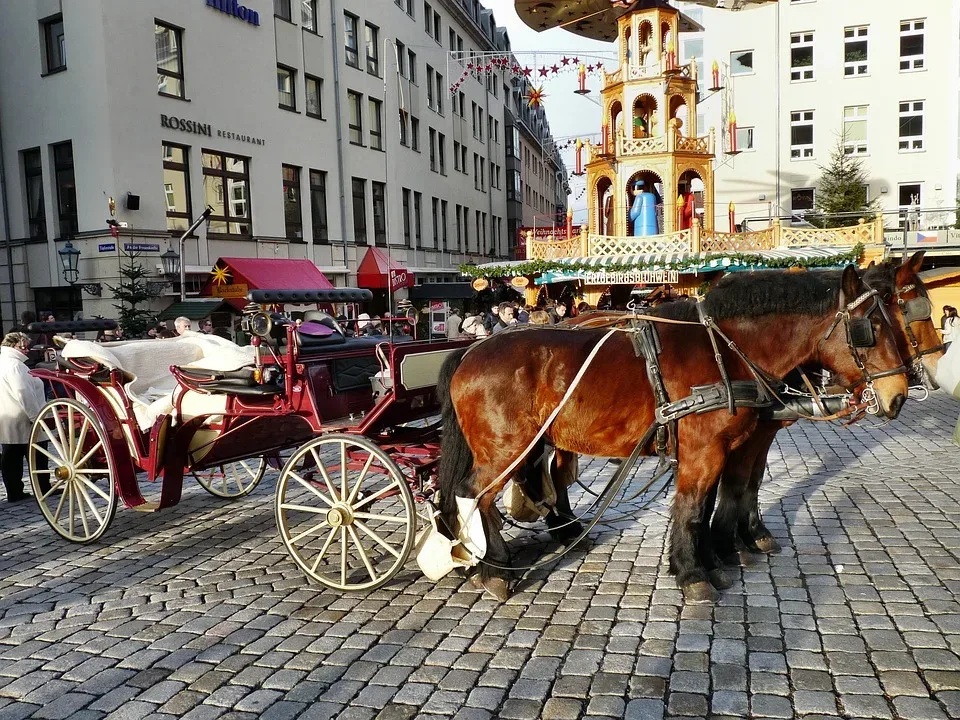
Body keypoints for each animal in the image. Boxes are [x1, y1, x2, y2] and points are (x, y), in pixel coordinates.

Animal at [438, 266, 912, 600]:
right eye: (870, 329)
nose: (898, 396)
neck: (725, 351)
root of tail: (472, 351)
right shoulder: (706, 450)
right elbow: (692, 507)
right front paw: (694, 572)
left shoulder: (736, 444)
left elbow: (724, 496)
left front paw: (718, 555)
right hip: (505, 449)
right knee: (475, 493)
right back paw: (494, 567)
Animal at [712, 252, 944, 564]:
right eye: (916, 313)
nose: (936, 368)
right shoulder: (750, 432)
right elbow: (736, 480)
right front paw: (730, 540)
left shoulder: (764, 431)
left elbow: (754, 477)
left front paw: (752, 533)